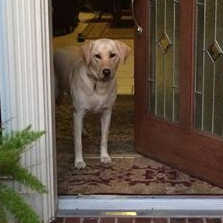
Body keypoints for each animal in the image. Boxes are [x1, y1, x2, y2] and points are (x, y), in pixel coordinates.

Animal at [54, 38, 130, 168]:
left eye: (112, 55)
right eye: (97, 56)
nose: (106, 71)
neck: (98, 84)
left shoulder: (106, 113)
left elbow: (104, 138)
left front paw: (104, 156)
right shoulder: (79, 112)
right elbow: (78, 142)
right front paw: (79, 161)